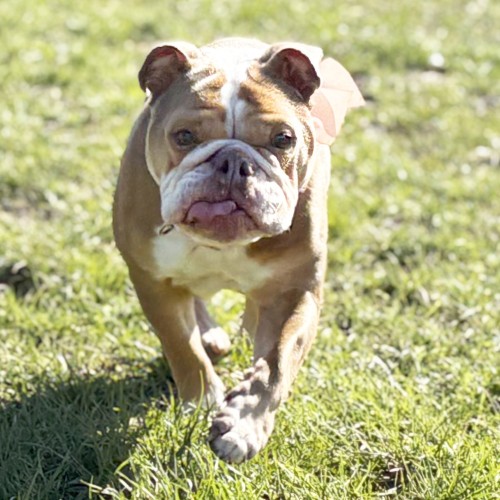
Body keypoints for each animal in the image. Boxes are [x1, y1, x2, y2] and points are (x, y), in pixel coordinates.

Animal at [113, 38, 363, 463]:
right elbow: (181, 344)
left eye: (283, 139)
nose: (232, 161)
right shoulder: (152, 280)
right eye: (183, 136)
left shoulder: (295, 290)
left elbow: (277, 361)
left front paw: (243, 423)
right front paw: (201, 399)